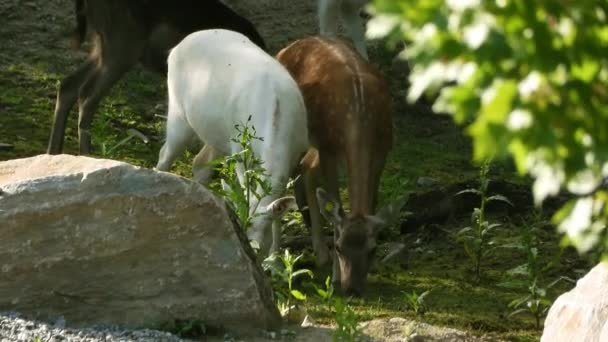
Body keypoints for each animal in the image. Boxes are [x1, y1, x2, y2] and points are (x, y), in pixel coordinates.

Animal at [47, 0, 266, 155]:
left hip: (104, 44)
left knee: (68, 85)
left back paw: (54, 154)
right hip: (123, 42)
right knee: (86, 95)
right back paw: (87, 155)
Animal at [276, 36, 400, 296]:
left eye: (373, 249)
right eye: (340, 247)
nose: (351, 288)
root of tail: (287, 47)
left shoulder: (383, 149)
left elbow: (372, 201)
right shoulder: (329, 149)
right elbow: (334, 202)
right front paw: (334, 274)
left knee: (307, 169)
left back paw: (318, 250)